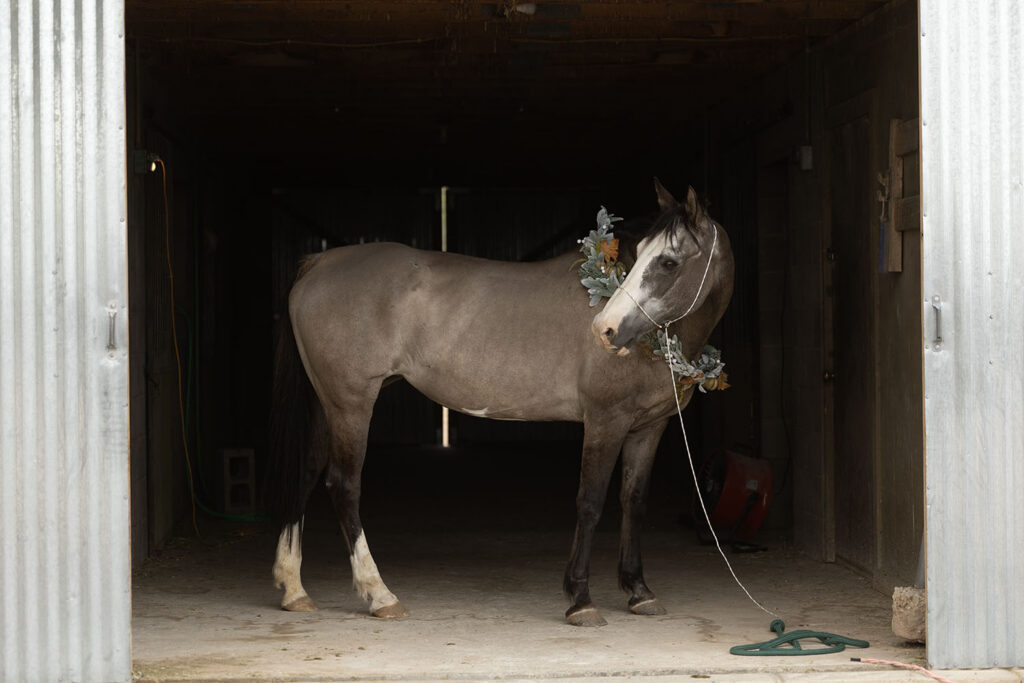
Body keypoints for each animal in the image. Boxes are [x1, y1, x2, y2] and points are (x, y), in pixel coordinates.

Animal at [267, 180, 734, 627]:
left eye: (668, 262)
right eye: (639, 256)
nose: (605, 329)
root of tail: (320, 262)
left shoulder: (648, 427)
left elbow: (633, 502)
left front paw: (639, 592)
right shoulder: (605, 421)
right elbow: (591, 501)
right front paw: (580, 600)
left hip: (327, 403)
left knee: (307, 473)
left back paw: (294, 590)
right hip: (351, 404)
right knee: (344, 485)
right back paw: (379, 594)